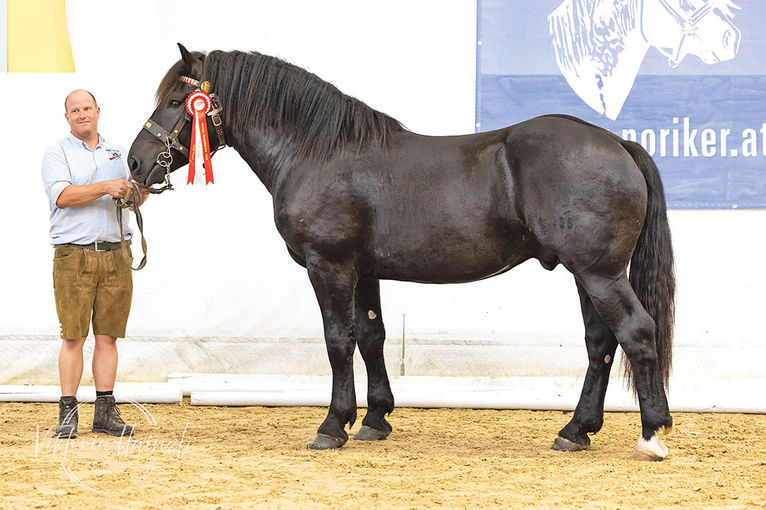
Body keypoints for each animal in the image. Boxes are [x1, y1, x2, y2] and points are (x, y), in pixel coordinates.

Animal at [130, 45, 680, 460]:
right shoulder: (363, 271)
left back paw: (652, 434)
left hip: (599, 272)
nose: (136, 162)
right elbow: (372, 336)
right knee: (600, 344)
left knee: (636, 332)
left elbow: (338, 341)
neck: (317, 152)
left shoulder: (329, 266)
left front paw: (333, 425)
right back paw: (575, 431)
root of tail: (618, 144)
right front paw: (375, 418)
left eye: (179, 100)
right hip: (586, 274)